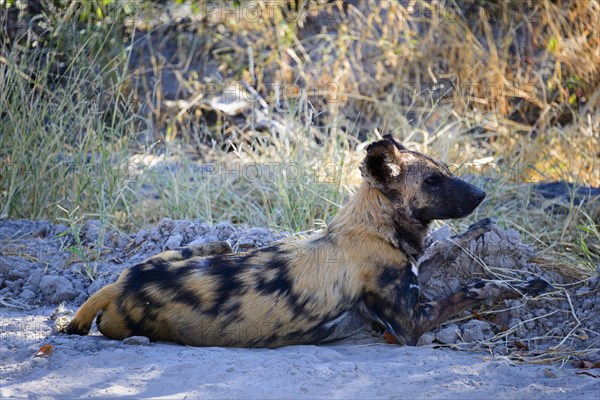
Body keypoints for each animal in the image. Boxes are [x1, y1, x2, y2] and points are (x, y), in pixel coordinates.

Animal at [65, 135, 548, 346]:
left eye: (446, 171)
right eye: (432, 181)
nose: (481, 195)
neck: (373, 229)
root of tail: (119, 288)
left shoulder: (414, 269)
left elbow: (445, 248)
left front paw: (479, 232)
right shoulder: (411, 323)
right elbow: (474, 288)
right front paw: (525, 285)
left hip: (175, 255)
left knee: (214, 245)